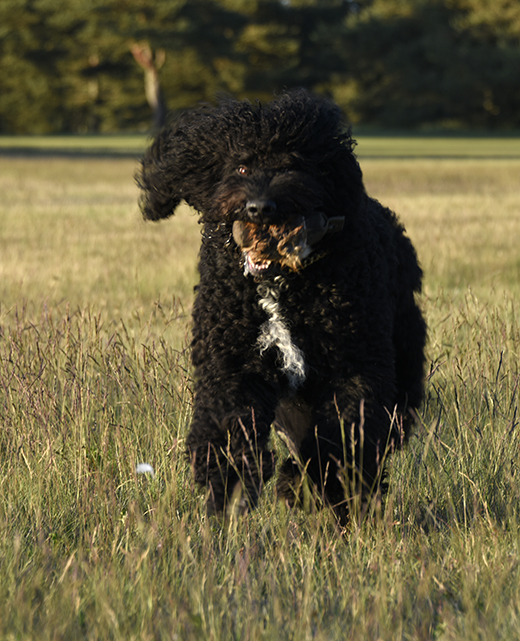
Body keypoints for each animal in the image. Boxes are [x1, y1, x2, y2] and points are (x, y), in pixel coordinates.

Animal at [138, 89, 426, 520]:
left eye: (293, 165)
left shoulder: (354, 366)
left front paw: (324, 488)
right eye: (241, 166)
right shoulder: (232, 365)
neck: (281, 284)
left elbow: (341, 439)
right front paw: (230, 492)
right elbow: (230, 433)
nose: (259, 207)